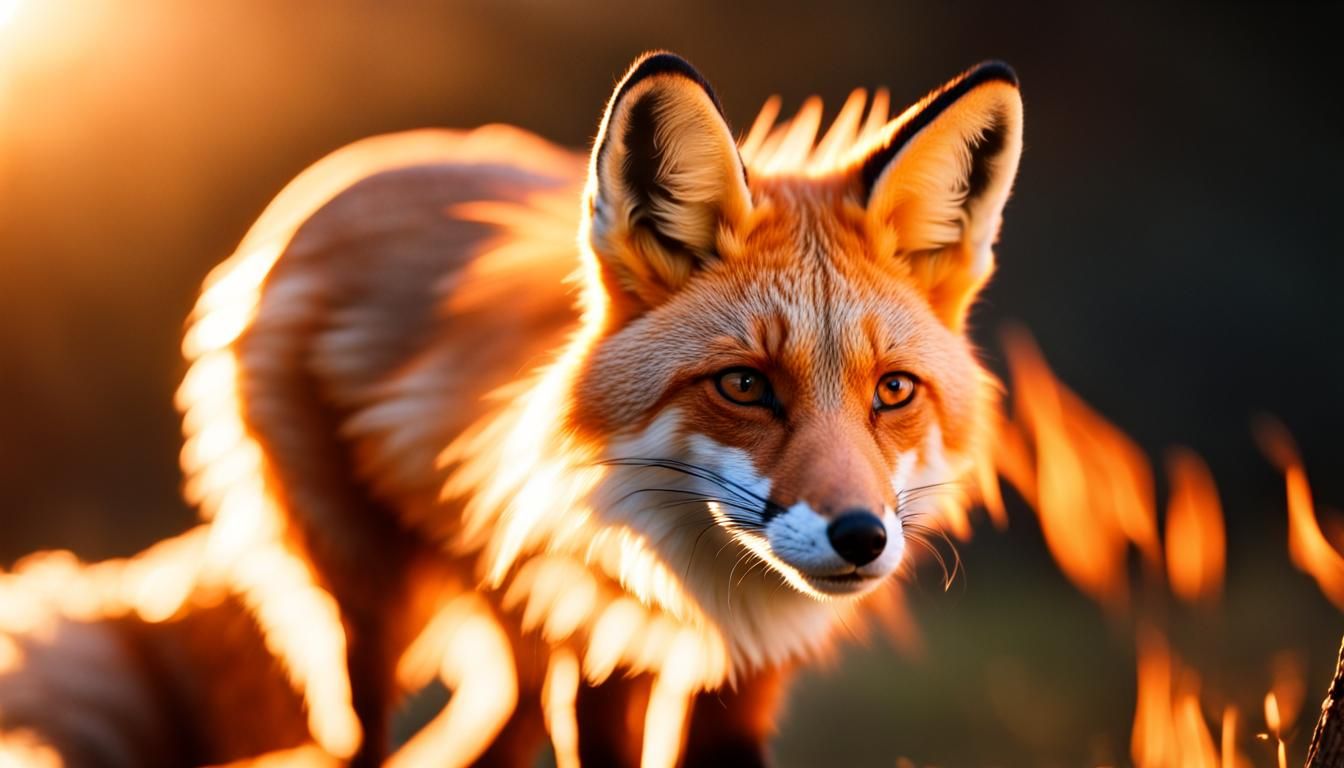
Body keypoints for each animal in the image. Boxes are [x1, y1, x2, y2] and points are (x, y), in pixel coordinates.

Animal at [1, 52, 1022, 766]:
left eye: (893, 391)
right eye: (744, 386)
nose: (862, 537)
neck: (701, 587)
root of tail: (349, 172)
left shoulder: (747, 679)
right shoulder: (600, 647)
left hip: (513, 633)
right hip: (371, 608)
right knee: (361, 744)